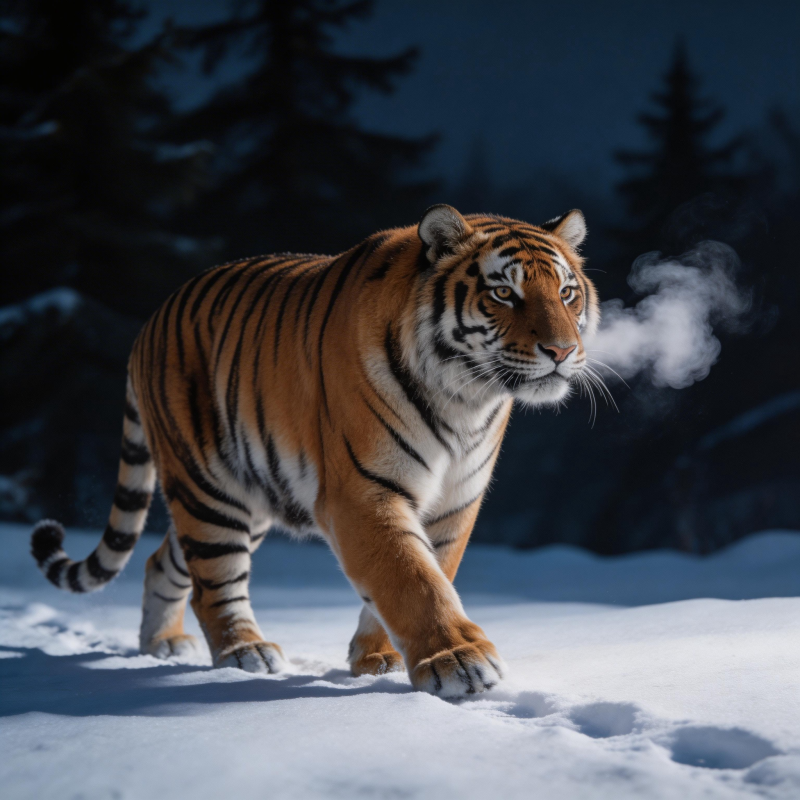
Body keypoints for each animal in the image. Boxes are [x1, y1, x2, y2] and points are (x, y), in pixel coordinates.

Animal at [31, 204, 599, 699]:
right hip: (208, 486)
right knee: (213, 580)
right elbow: (411, 577)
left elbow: (425, 570)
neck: (465, 398)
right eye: (503, 292)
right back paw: (244, 652)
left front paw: (377, 660)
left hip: (249, 492)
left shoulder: (454, 502)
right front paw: (458, 662)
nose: (563, 350)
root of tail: (150, 320)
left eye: (567, 292)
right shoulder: (363, 491)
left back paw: (161, 644)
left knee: (163, 558)